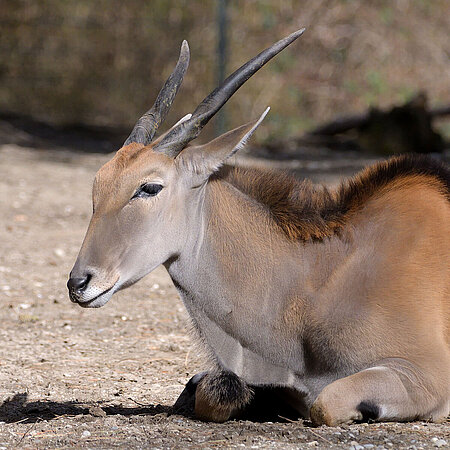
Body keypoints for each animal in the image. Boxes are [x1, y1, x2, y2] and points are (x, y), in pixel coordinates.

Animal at [67, 30, 450, 426]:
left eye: (149, 187)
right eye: (98, 184)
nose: (79, 283)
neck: (317, 279)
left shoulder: (425, 374)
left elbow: (326, 403)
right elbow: (208, 392)